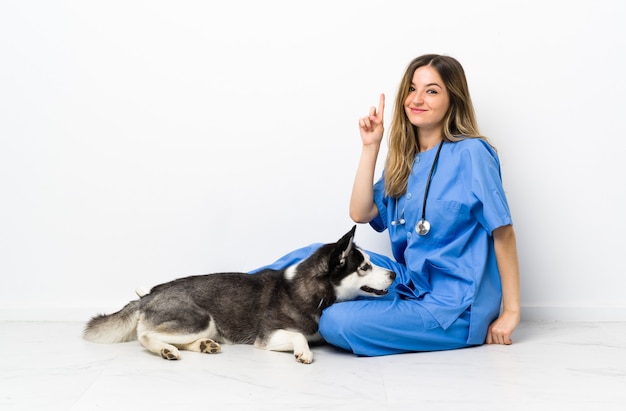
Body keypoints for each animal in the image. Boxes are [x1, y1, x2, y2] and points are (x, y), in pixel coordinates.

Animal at [83, 227, 394, 366]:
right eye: (364, 267)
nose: (393, 274)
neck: (309, 290)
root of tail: (150, 295)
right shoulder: (266, 337)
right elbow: (298, 336)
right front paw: (303, 351)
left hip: (207, 326)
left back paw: (203, 346)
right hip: (201, 319)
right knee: (146, 334)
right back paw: (166, 350)